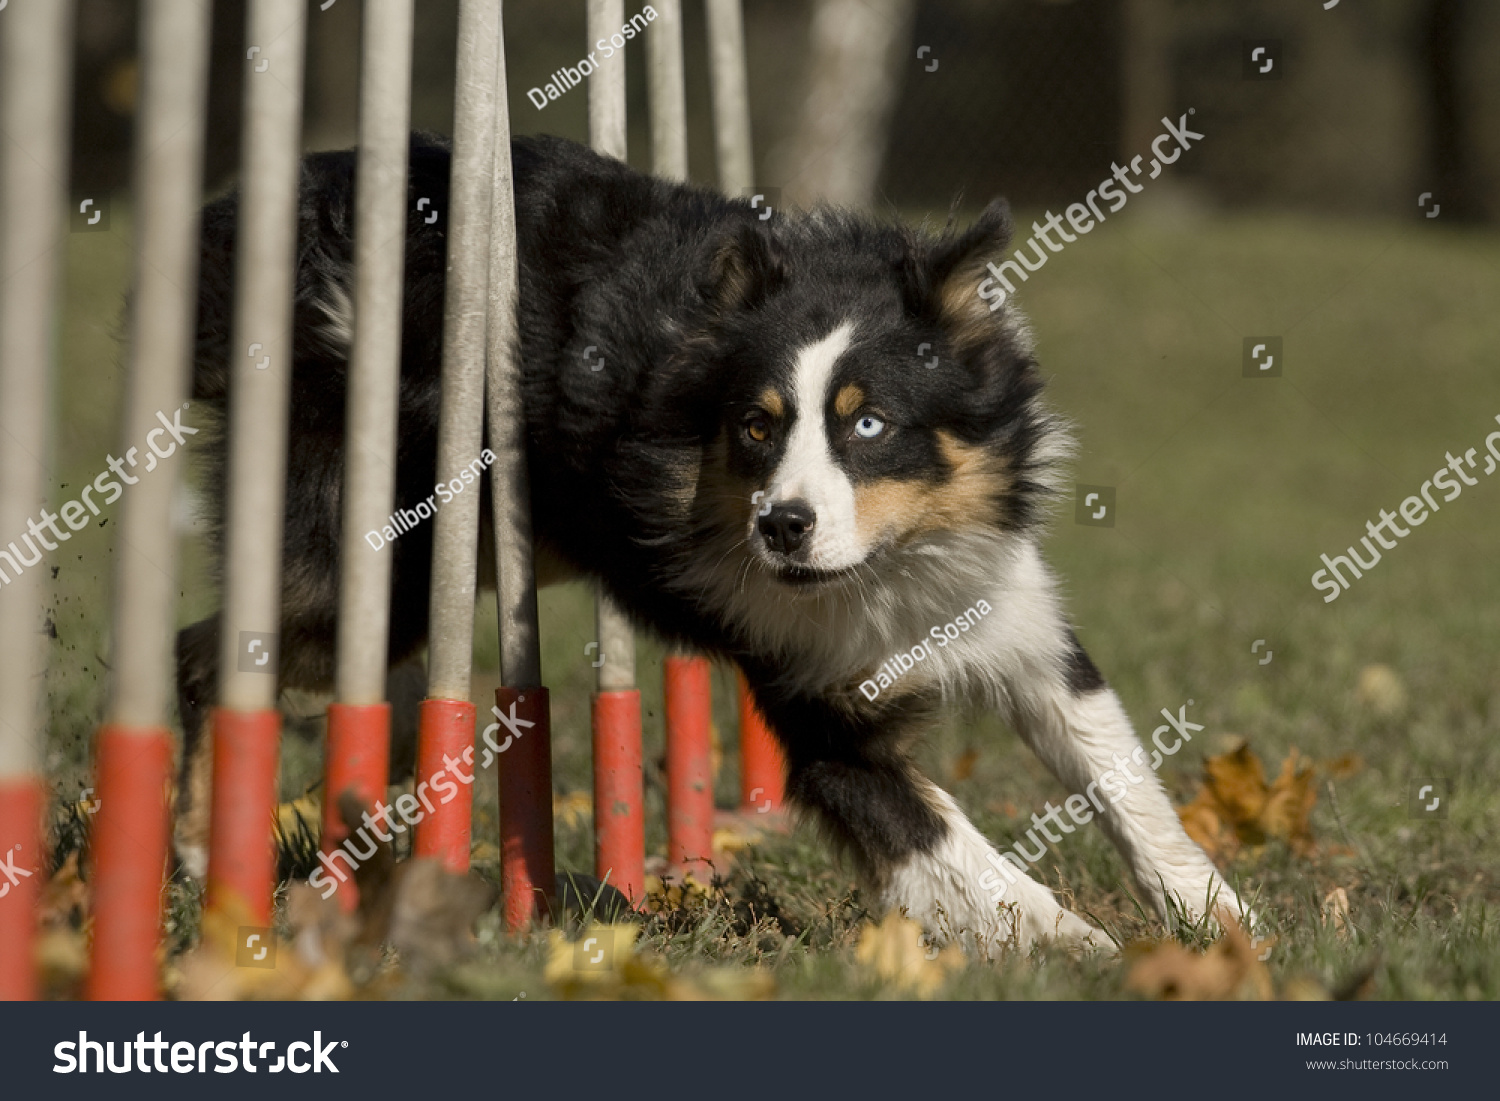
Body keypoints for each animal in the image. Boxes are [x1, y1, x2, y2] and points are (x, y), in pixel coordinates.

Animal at [178, 131, 1254, 960]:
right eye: (755, 426)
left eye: (870, 424)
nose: (781, 525)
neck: (884, 563)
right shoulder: (813, 698)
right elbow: (934, 833)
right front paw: (1074, 940)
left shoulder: (1008, 612)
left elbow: (1119, 771)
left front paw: (1220, 918)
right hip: (383, 542)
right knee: (208, 651)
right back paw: (200, 854)